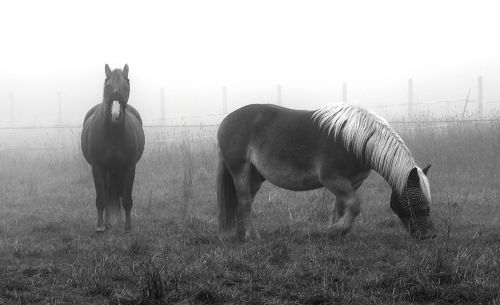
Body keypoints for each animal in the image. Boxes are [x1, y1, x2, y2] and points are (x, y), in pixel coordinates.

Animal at [81, 63, 145, 232]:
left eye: (126, 85)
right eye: (107, 85)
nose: (115, 115)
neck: (113, 134)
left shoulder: (129, 167)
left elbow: (126, 198)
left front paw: (128, 226)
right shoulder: (98, 168)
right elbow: (101, 199)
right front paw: (100, 226)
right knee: (108, 193)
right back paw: (108, 223)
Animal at [218, 102, 434, 240]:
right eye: (417, 203)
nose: (428, 235)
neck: (354, 139)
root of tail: (225, 121)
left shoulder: (352, 181)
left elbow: (341, 206)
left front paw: (336, 231)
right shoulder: (331, 178)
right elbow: (354, 205)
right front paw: (335, 231)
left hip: (255, 176)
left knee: (244, 201)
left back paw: (241, 233)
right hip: (240, 170)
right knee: (244, 201)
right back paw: (252, 236)